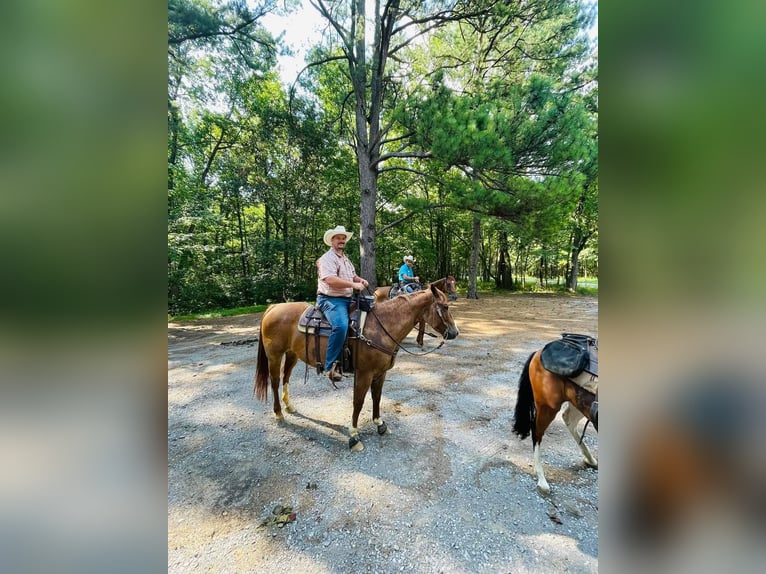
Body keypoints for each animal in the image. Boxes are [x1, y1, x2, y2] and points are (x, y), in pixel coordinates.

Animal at [256, 286, 462, 452]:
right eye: (445, 307)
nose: (454, 332)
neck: (382, 327)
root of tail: (274, 307)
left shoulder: (380, 373)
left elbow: (377, 397)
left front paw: (379, 423)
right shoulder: (364, 374)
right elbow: (359, 401)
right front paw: (354, 435)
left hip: (292, 354)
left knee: (285, 378)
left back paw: (289, 406)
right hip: (275, 355)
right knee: (274, 382)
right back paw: (278, 413)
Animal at [516, 352, 600, 496]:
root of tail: (538, 353)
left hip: (579, 404)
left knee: (569, 420)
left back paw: (591, 460)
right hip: (548, 407)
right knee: (537, 433)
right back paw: (542, 480)